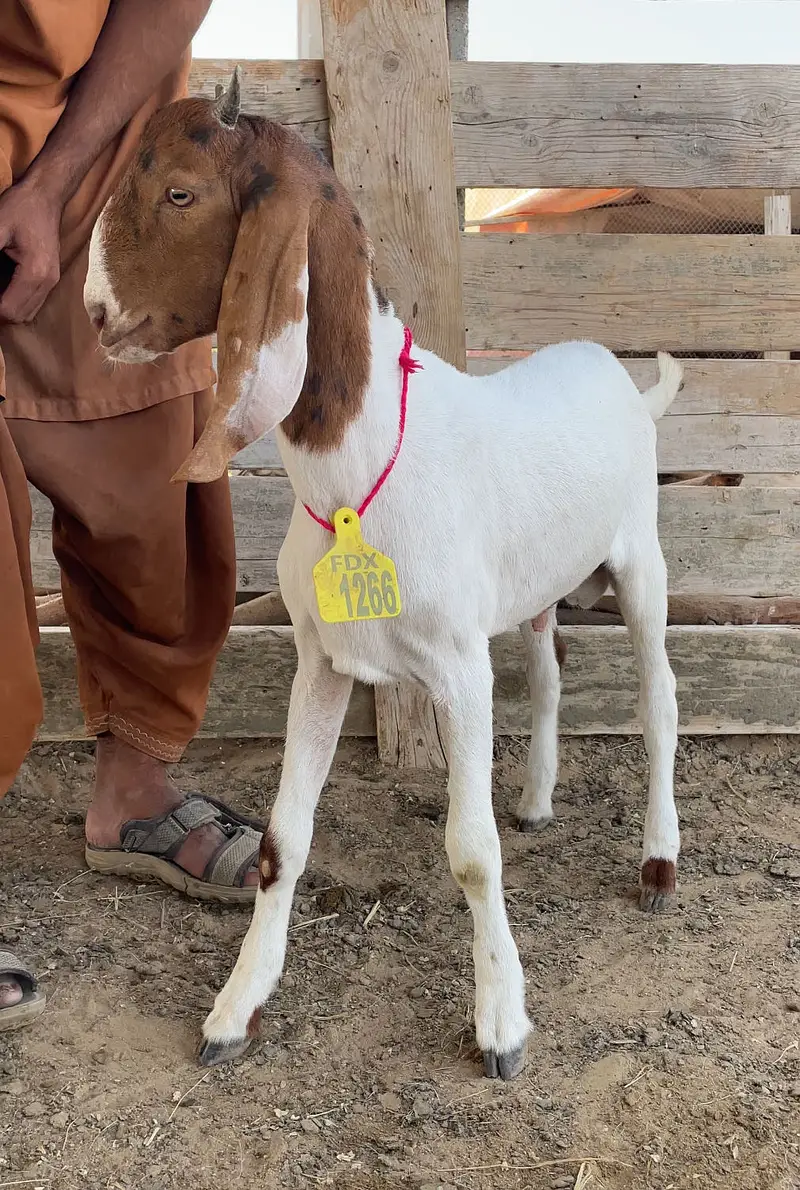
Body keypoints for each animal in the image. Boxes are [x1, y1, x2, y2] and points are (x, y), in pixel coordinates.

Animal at [84, 69, 682, 1081]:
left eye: (180, 193)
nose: (91, 313)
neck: (356, 473)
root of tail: (622, 378)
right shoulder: (321, 660)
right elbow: (283, 840)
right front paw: (236, 1007)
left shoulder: (457, 666)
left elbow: (471, 851)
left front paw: (502, 1023)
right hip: (532, 591)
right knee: (549, 673)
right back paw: (537, 801)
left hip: (640, 559)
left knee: (660, 697)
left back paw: (658, 860)